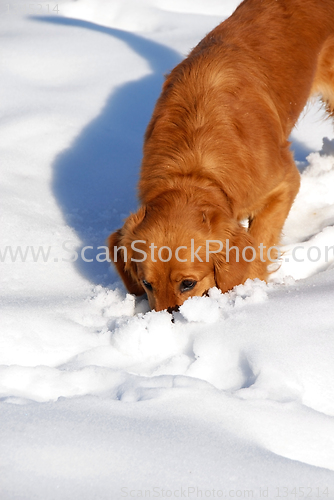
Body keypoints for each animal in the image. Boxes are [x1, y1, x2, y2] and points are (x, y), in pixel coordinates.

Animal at [108, 0, 334, 310]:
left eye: (188, 283)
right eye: (146, 283)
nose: (168, 318)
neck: (193, 167)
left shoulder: (283, 182)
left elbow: (259, 241)